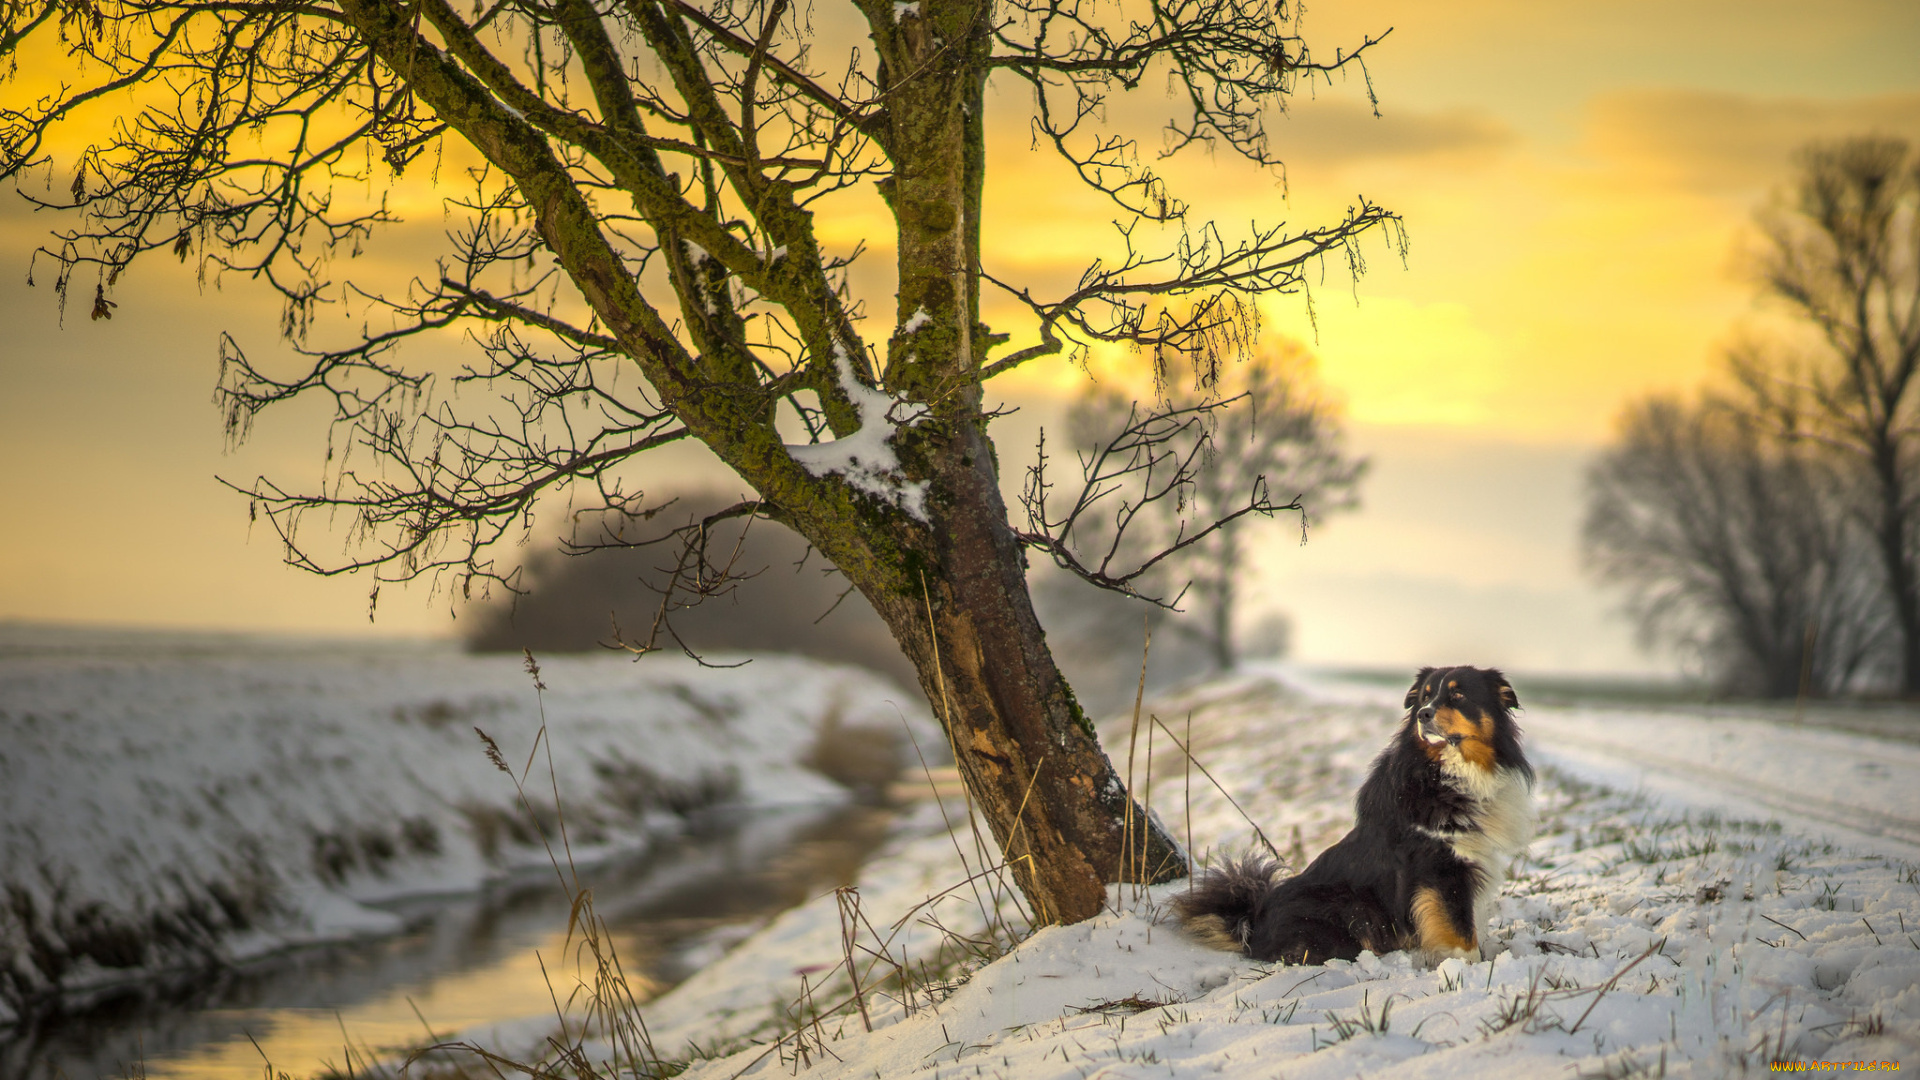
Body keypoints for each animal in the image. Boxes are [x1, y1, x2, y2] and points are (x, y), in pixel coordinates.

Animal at [1167, 664, 1528, 957]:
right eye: (1424, 697)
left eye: (1457, 695)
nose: (1423, 714)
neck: (1450, 771)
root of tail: (1252, 925)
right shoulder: (1439, 869)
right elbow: (1459, 933)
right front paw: (1467, 970)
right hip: (1349, 907)